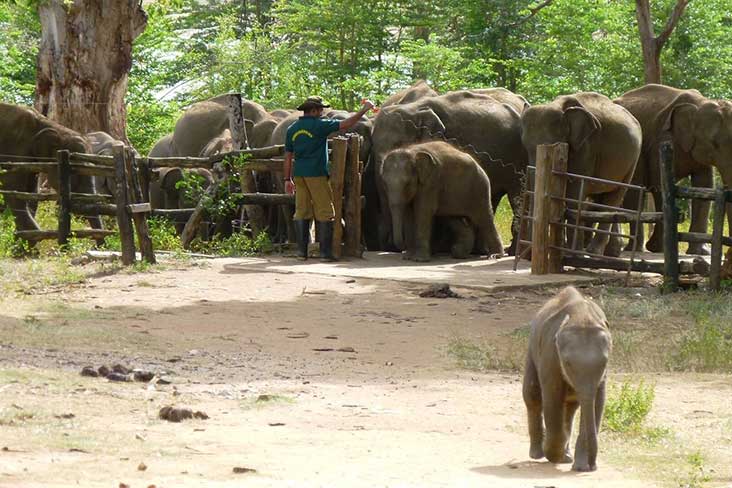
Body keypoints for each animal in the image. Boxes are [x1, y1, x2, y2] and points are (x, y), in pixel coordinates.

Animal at [372, 88, 528, 254]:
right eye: (373, 146)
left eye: (398, 144)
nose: (390, 247)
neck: (414, 108)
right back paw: (480, 250)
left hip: (517, 158)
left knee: (516, 194)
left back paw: (509, 252)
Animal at [520, 93, 640, 258]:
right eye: (524, 146)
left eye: (553, 146)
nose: (528, 256)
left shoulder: (587, 147)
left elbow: (574, 194)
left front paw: (572, 255)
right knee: (602, 198)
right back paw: (609, 253)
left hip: (632, 161)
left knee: (614, 197)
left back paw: (593, 252)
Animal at [520, 286, 612, 472]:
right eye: (567, 363)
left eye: (605, 362)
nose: (593, 466)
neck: (582, 316)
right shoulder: (550, 353)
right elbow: (552, 397)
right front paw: (553, 455)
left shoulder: (602, 375)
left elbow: (598, 402)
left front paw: (580, 467)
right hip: (532, 352)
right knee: (532, 395)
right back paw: (538, 454)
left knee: (570, 407)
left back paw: (566, 456)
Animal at [616, 84, 732, 254]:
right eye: (714, 143)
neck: (700, 103)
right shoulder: (661, 140)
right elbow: (659, 183)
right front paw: (659, 248)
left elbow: (704, 185)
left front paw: (700, 252)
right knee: (634, 191)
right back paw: (634, 249)